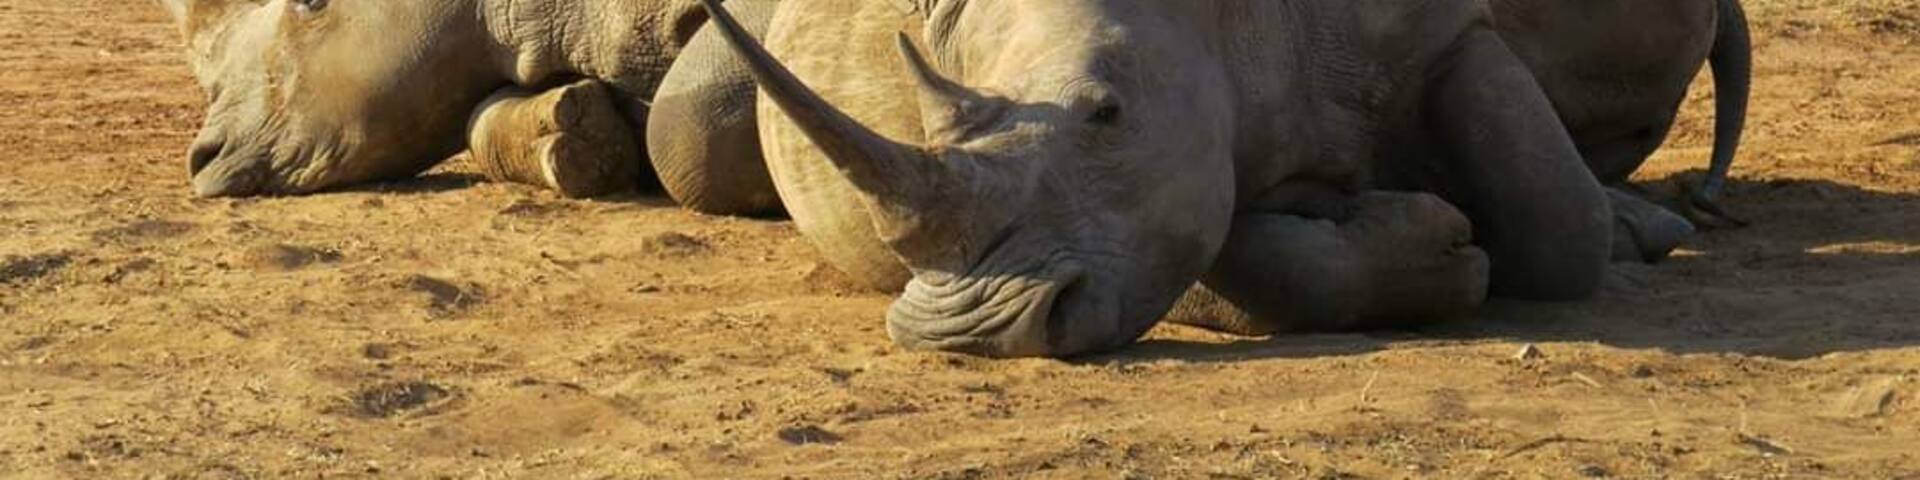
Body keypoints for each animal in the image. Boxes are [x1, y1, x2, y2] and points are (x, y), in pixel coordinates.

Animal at [699, 0, 1755, 357]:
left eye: (1107, 114)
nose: (971, 336)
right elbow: (1230, 248)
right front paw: (1437, 250)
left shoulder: (1445, 28)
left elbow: (1557, 226)